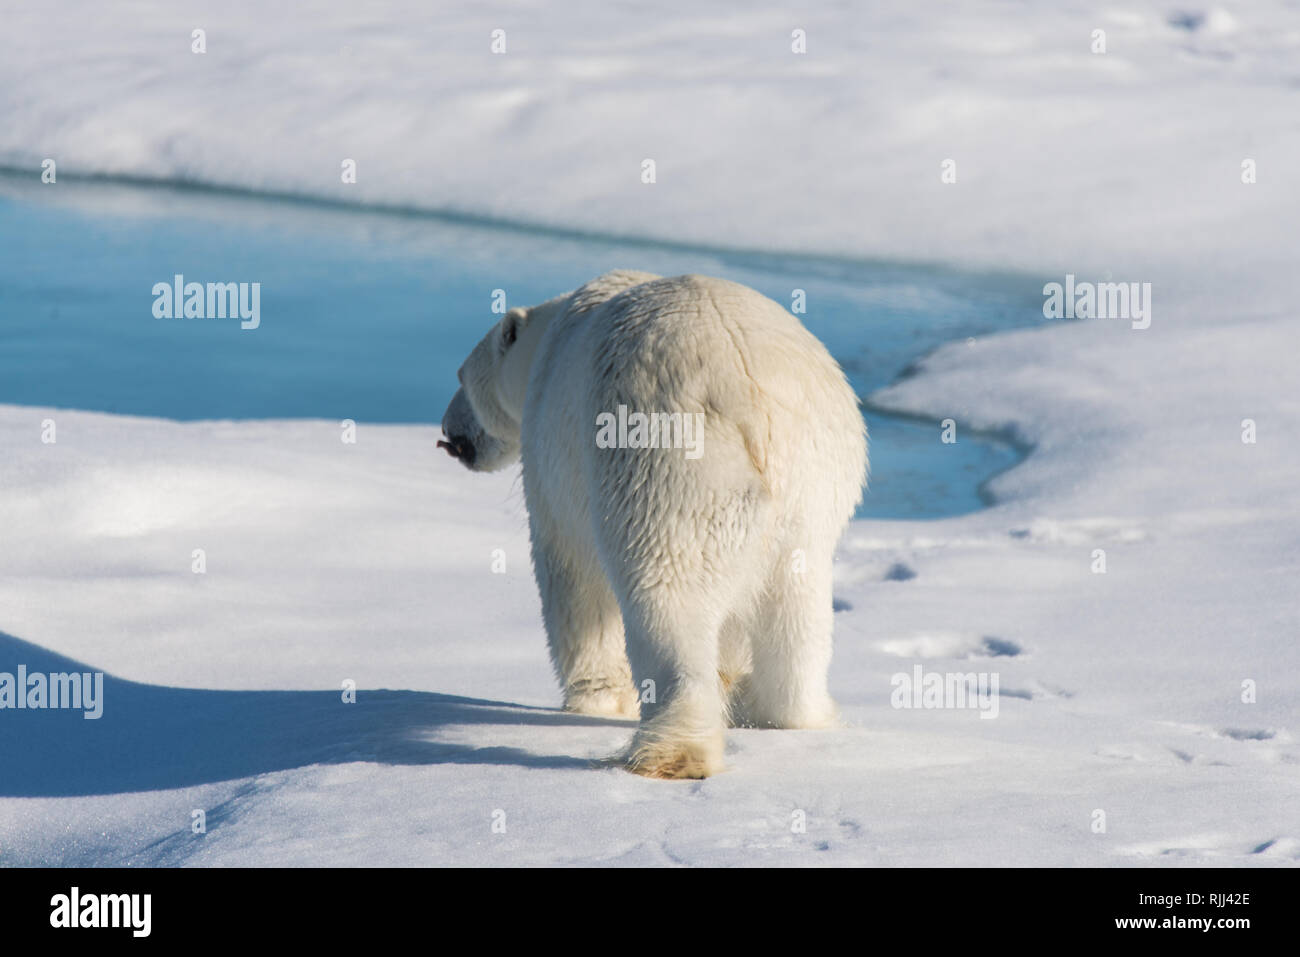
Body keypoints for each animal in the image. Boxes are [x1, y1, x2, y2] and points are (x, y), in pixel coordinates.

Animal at [441, 273, 868, 780]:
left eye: (460, 378)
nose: (448, 432)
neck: (549, 337)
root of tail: (751, 391)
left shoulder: (554, 459)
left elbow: (573, 578)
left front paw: (598, 699)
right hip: (817, 480)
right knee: (798, 606)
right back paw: (784, 712)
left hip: (668, 462)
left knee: (668, 593)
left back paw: (669, 753)